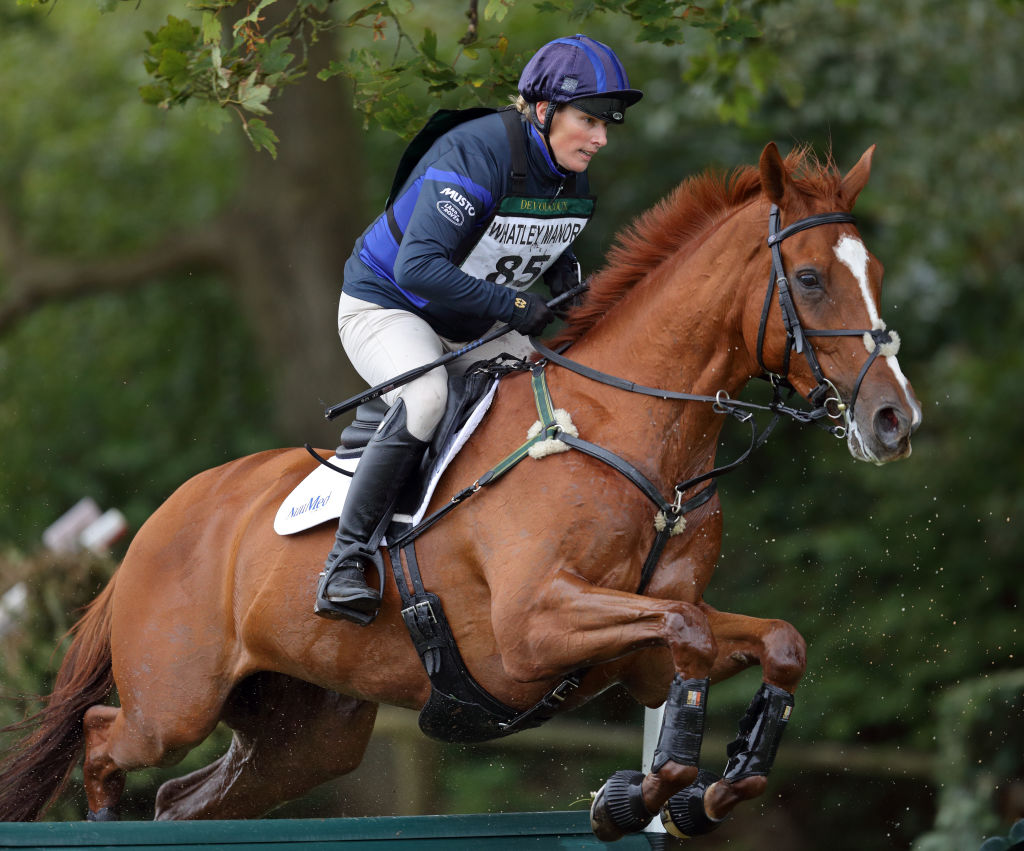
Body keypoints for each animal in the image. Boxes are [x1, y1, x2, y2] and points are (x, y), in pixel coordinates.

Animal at [0, 141, 921, 839]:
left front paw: (705, 789)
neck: (634, 433)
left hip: (303, 733)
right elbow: (688, 631)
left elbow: (772, 641)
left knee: (183, 798)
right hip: (174, 702)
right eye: (809, 280)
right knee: (103, 738)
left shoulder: (639, 654)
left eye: (874, 269)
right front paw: (640, 796)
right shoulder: (534, 626)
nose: (893, 420)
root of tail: (157, 524)